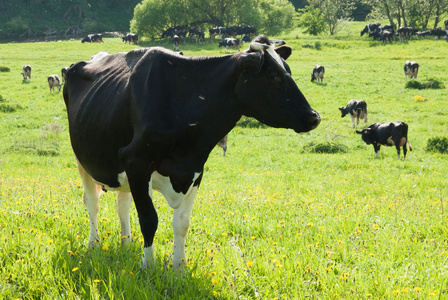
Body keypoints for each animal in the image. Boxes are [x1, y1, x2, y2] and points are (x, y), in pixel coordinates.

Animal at [64, 34, 322, 270]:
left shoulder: (196, 168)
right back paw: (94, 244)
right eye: (273, 76)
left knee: (122, 204)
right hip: (82, 160)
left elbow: (182, 223)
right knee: (92, 202)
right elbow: (149, 219)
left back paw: (126, 244)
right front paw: (148, 266)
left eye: (288, 70)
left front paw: (180, 267)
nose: (314, 116)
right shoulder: (136, 161)